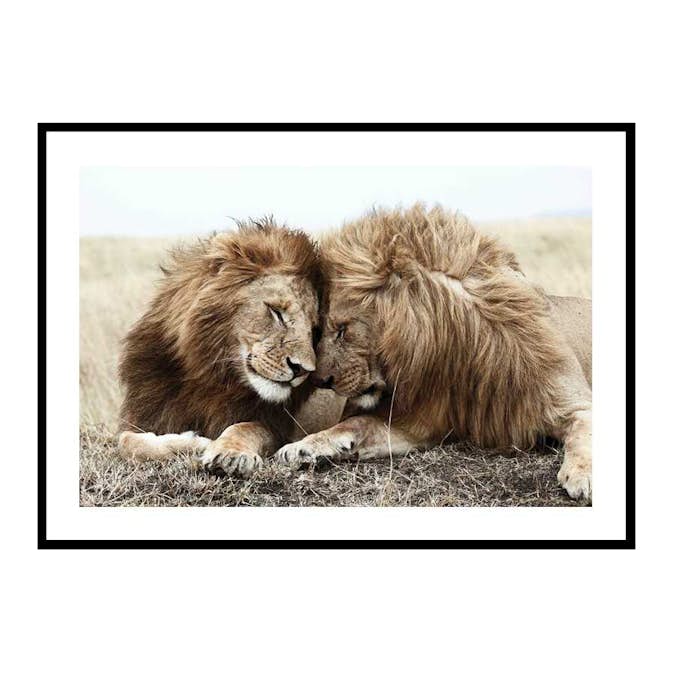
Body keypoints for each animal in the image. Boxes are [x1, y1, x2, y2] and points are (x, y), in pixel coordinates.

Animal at [117, 218, 330, 478]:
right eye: (276, 312)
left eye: (314, 330)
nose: (302, 370)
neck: (211, 376)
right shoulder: (145, 416)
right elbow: (126, 442)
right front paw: (193, 443)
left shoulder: (276, 426)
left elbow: (245, 427)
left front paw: (229, 454)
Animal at [274, 205, 593, 502]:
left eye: (342, 329)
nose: (319, 381)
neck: (459, 350)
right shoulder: (421, 422)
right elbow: (357, 422)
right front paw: (303, 447)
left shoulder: (575, 403)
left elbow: (584, 432)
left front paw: (583, 476)